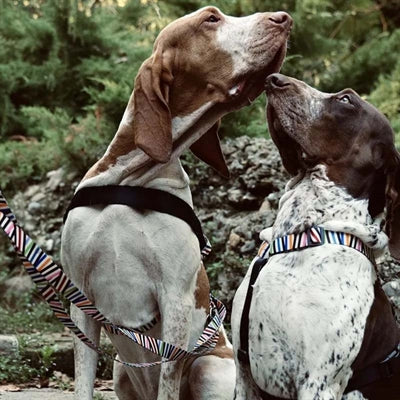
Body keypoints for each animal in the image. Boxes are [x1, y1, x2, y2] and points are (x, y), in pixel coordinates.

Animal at [60, 7, 290, 400]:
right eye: (211, 19)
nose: (284, 17)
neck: (132, 182)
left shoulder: (176, 300)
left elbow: (168, 378)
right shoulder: (81, 299)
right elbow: (83, 381)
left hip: (206, 367)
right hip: (121, 373)